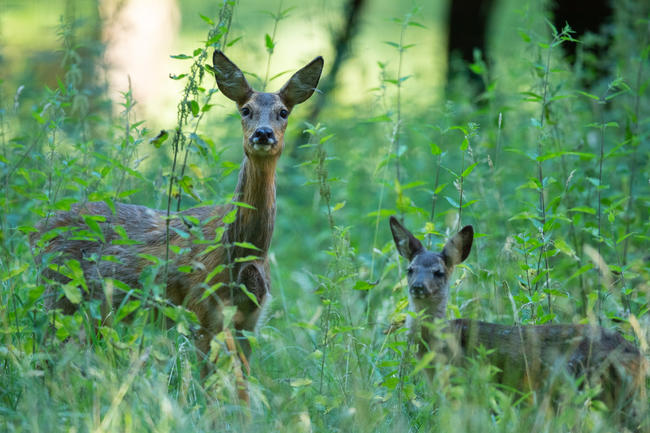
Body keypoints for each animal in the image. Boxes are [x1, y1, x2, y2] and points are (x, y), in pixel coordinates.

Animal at [31, 51, 324, 378]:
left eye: (283, 112)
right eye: (246, 110)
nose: (263, 133)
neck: (242, 250)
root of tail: (36, 230)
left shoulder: (251, 318)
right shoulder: (200, 308)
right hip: (60, 294)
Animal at [388, 218, 644, 420]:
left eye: (438, 272)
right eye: (410, 269)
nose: (418, 286)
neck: (439, 343)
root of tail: (640, 358)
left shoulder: (461, 384)